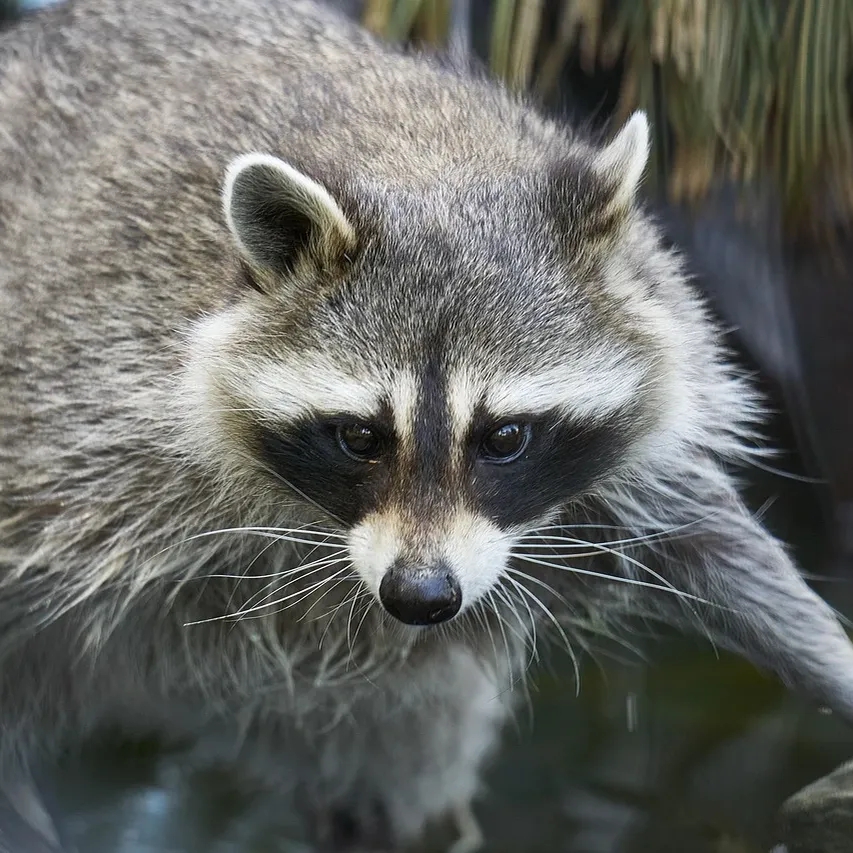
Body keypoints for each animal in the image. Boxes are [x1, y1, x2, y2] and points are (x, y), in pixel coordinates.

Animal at [2, 0, 853, 849]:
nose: (419, 595)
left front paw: (822, 654)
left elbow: (710, 538)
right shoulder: (81, 417)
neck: (423, 158)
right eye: (360, 437)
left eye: (504, 438)